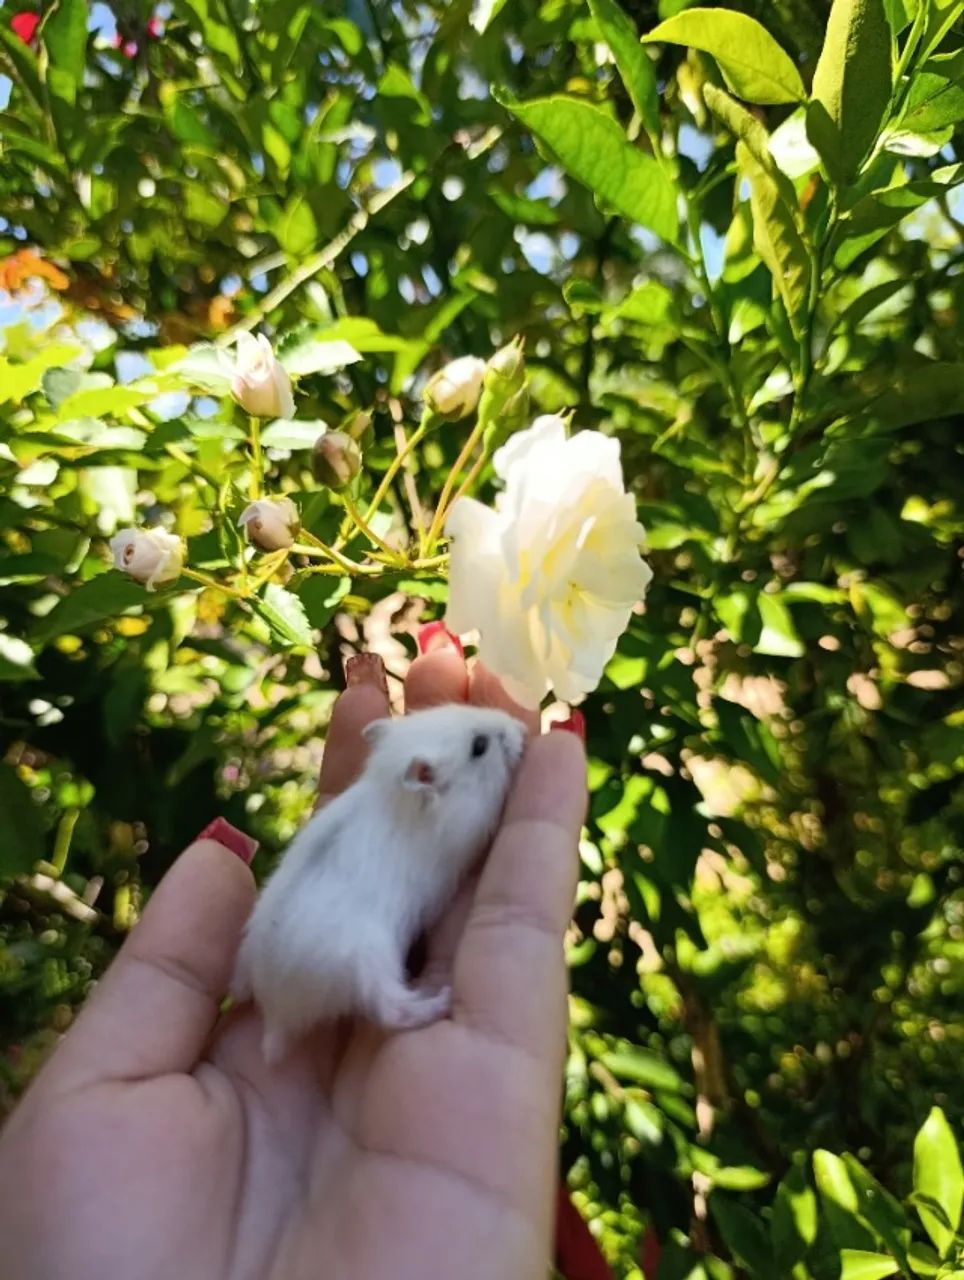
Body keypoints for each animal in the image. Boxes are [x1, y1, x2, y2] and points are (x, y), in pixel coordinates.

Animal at [232, 703, 527, 1064]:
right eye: (479, 747)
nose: (522, 729)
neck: (397, 796)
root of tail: (276, 1015)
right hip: (368, 962)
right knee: (391, 1012)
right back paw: (438, 1000)